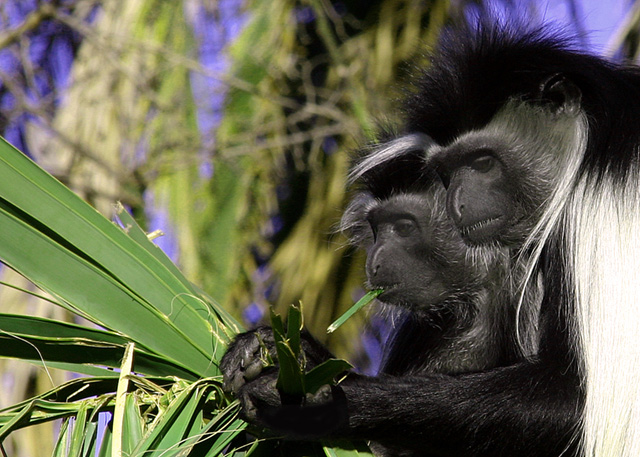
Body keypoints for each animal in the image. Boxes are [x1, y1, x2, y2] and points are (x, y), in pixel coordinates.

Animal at [220, 22, 640, 456]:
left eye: (482, 162)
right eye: (447, 171)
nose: (459, 204)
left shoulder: (589, 213)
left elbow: (572, 401)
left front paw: (326, 399)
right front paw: (282, 349)